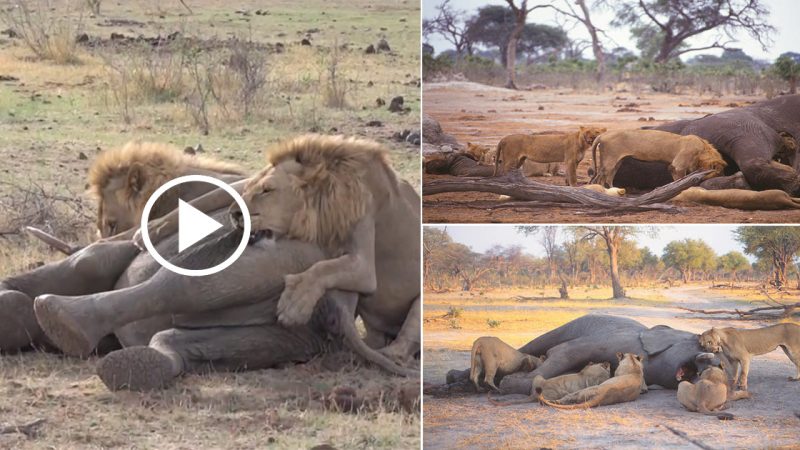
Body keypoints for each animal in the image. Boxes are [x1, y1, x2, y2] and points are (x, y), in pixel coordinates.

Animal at [592, 129, 728, 187]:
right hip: (610, 160)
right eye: (718, 172)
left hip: (617, 162)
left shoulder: (672, 167)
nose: (722, 177)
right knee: (599, 178)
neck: (702, 149)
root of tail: (602, 135)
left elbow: (676, 180)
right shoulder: (679, 165)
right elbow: (682, 179)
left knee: (608, 178)